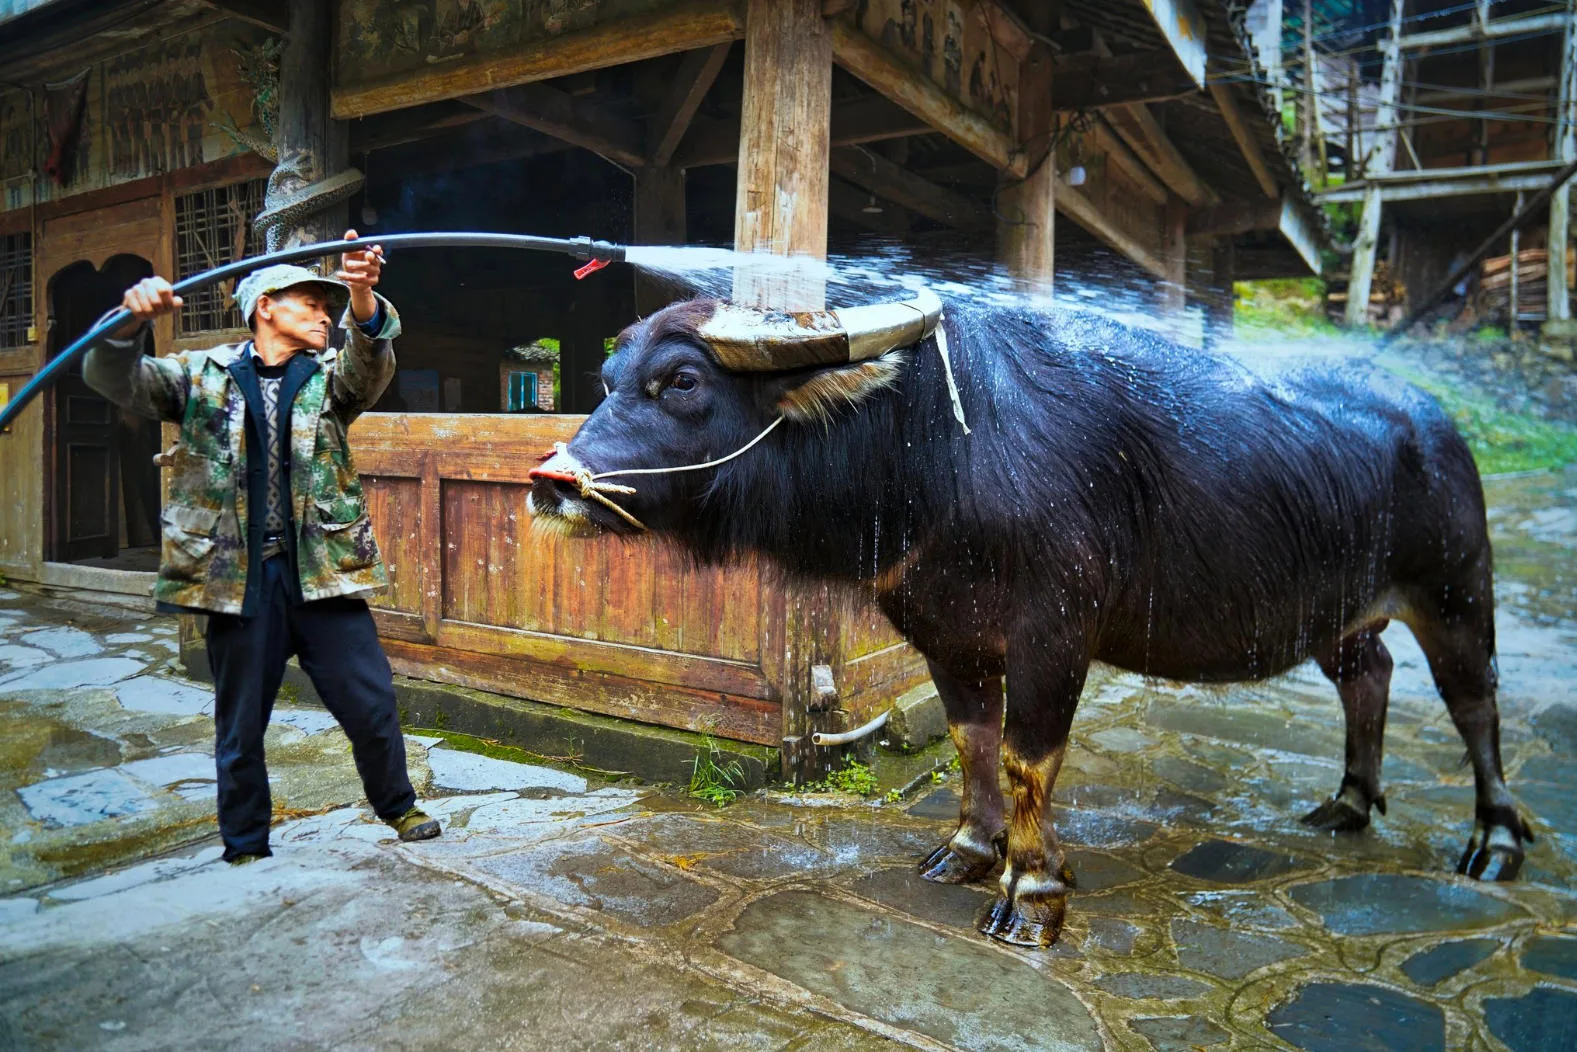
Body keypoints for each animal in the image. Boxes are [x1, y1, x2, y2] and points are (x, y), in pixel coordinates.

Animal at [527, 290, 1529, 947]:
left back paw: (1493, 842)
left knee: (1473, 701)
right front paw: (970, 850)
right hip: (1339, 615)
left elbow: (1024, 757)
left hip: (1454, 590)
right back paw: (1349, 802)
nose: (550, 480)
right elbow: (971, 741)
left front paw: (1032, 891)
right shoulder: (946, 634)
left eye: (680, 380)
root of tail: (1435, 423)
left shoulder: (1054, 633)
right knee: (1371, 677)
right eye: (607, 377)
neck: (932, 449)